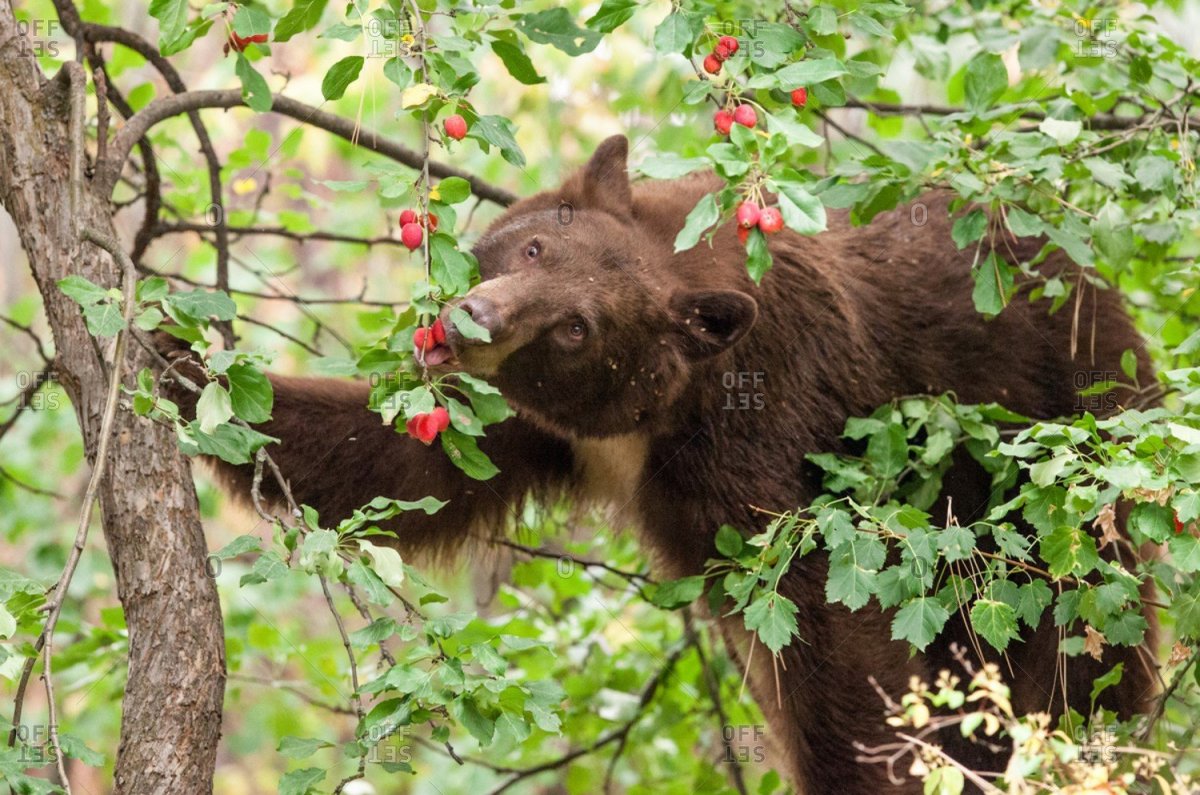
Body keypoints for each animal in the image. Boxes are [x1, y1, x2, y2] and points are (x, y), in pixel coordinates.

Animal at [159, 133, 1152, 792]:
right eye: (533, 245)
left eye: (575, 325)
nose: (473, 319)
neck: (656, 415)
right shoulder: (543, 427)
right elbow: (405, 468)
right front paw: (178, 359)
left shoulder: (767, 429)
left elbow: (823, 620)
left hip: (1058, 453)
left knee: (1075, 636)